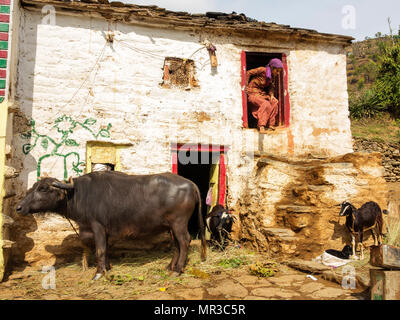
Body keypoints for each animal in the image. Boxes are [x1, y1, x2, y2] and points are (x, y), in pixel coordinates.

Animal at [15, 171, 206, 278]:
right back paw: (170, 266)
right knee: (177, 244)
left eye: (44, 189)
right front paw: (106, 267)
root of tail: (190, 184)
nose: (19, 207)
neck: (78, 194)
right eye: (33, 187)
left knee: (184, 242)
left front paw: (98, 273)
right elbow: (105, 249)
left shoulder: (97, 226)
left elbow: (100, 250)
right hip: (171, 226)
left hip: (179, 223)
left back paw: (177, 270)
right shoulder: (104, 231)